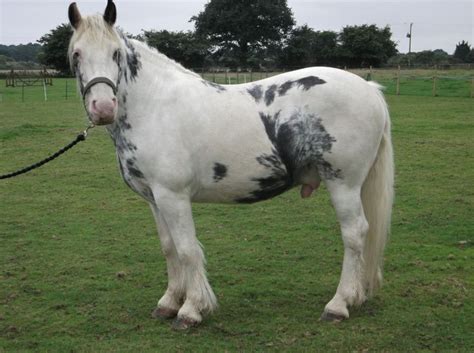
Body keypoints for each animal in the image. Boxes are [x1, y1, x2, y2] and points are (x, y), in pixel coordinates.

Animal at [68, 1, 394, 328]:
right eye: (77, 54)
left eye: (115, 53)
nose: (103, 108)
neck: (154, 106)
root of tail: (369, 89)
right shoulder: (154, 198)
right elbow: (169, 248)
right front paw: (169, 302)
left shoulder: (173, 196)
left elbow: (187, 250)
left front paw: (191, 309)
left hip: (343, 183)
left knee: (355, 234)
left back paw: (338, 304)